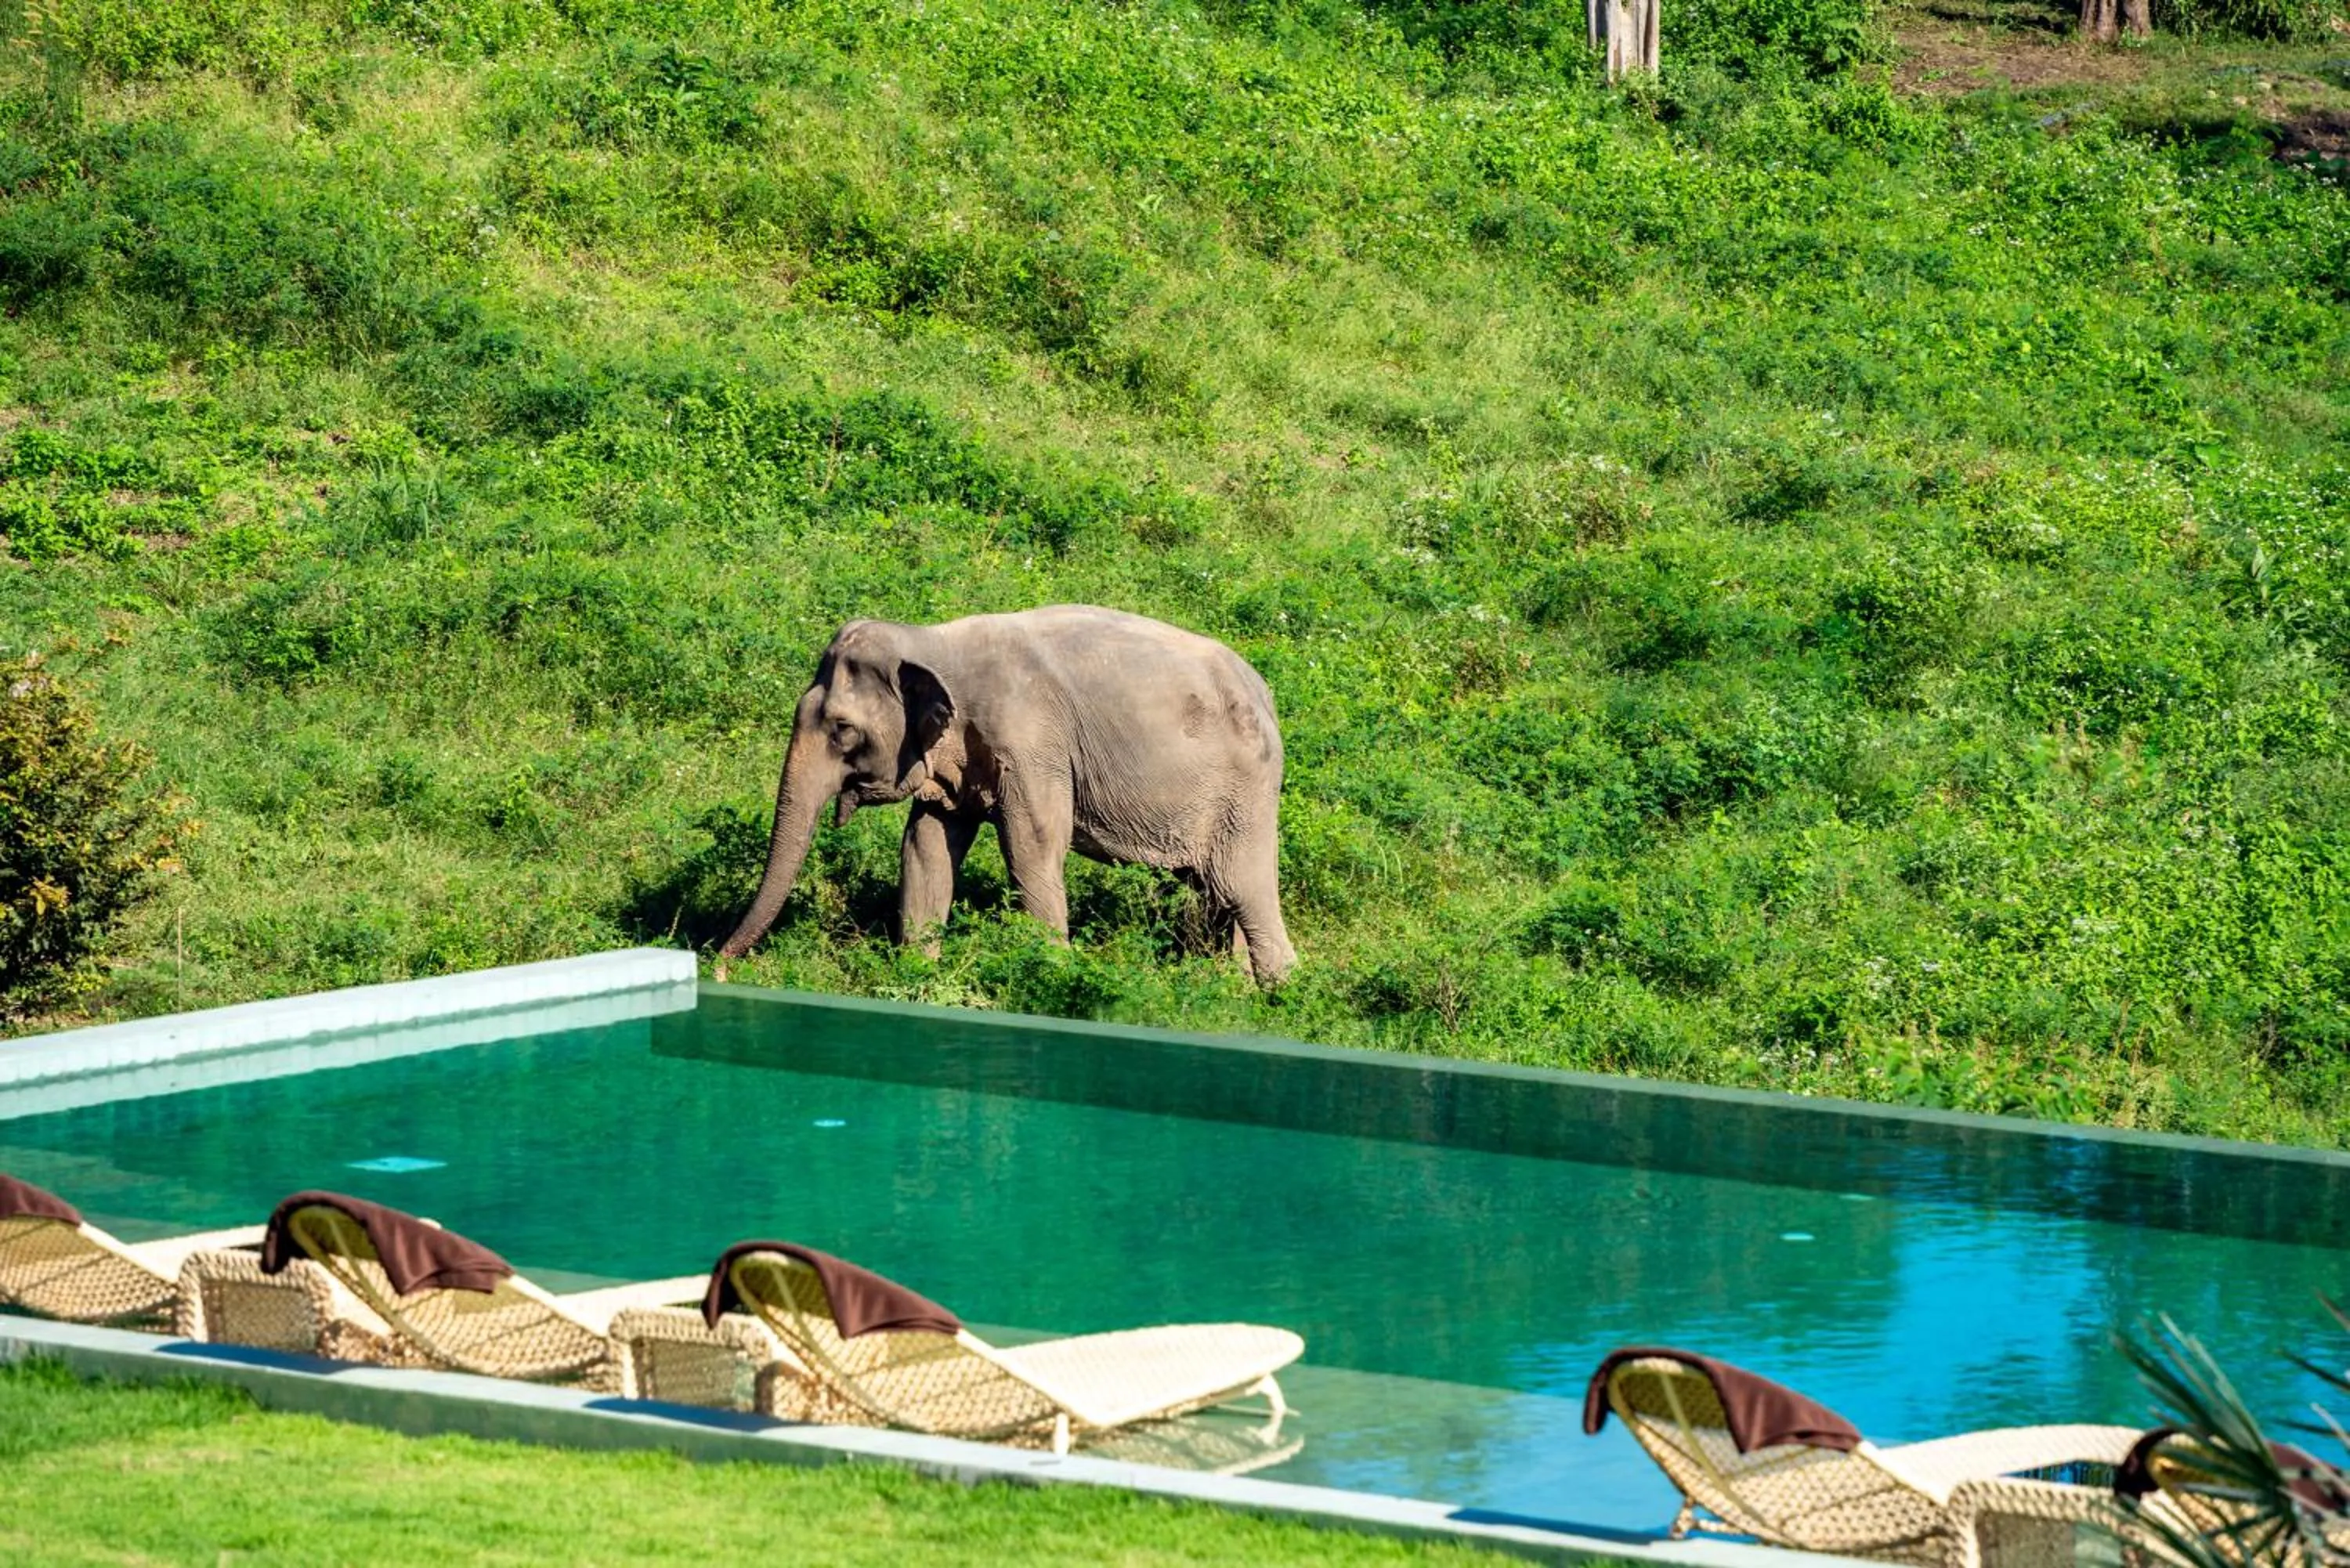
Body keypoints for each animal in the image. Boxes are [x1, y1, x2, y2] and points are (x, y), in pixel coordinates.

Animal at [712, 605, 1297, 986]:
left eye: (842, 730)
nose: (717, 966)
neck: (932, 642)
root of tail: (1266, 693)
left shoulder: (1033, 744)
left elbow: (1032, 848)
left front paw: (1053, 975)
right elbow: (925, 846)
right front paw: (917, 974)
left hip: (1245, 794)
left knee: (1242, 886)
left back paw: (1278, 994)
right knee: (1215, 893)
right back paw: (1227, 988)